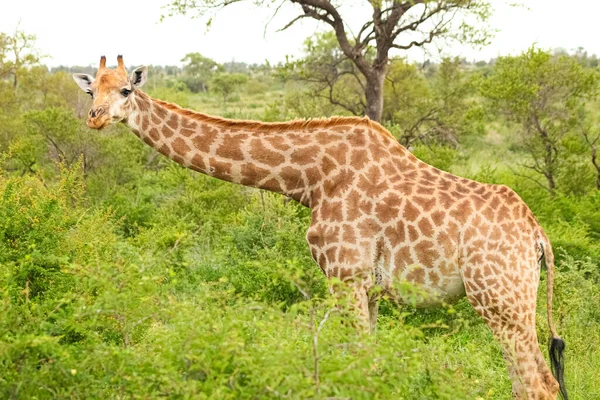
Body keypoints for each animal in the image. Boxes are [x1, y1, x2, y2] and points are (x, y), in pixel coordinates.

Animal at [74, 56, 568, 400]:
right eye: (90, 90)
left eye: (125, 90)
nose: (94, 117)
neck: (309, 179)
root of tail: (537, 235)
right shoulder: (367, 286)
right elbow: (367, 363)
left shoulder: (345, 275)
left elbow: (359, 364)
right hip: (512, 301)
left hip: (499, 300)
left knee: (537, 384)